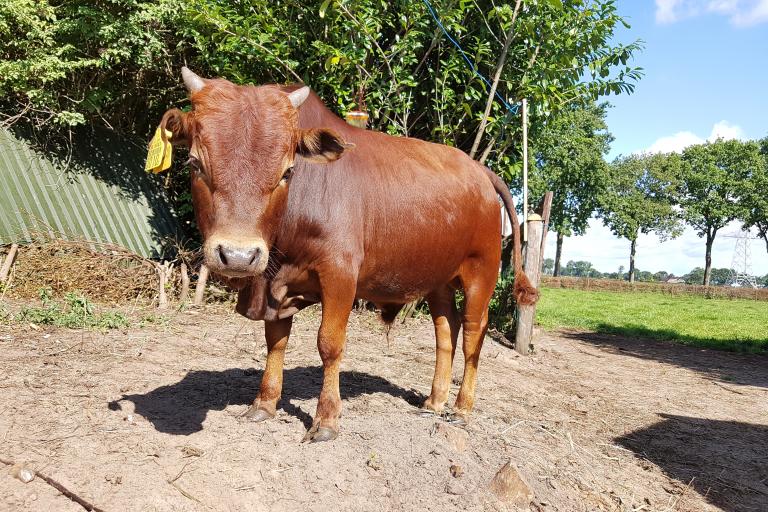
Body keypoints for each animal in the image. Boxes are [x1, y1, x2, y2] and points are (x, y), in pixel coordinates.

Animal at [159, 68, 536, 442]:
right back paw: (434, 401)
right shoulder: (275, 285)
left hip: (481, 273)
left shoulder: (339, 274)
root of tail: (478, 169)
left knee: (473, 332)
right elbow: (275, 341)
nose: (238, 255)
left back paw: (461, 408)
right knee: (446, 330)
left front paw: (326, 419)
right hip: (438, 280)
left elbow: (329, 344)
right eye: (194, 162)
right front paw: (264, 404)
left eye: (287, 171)